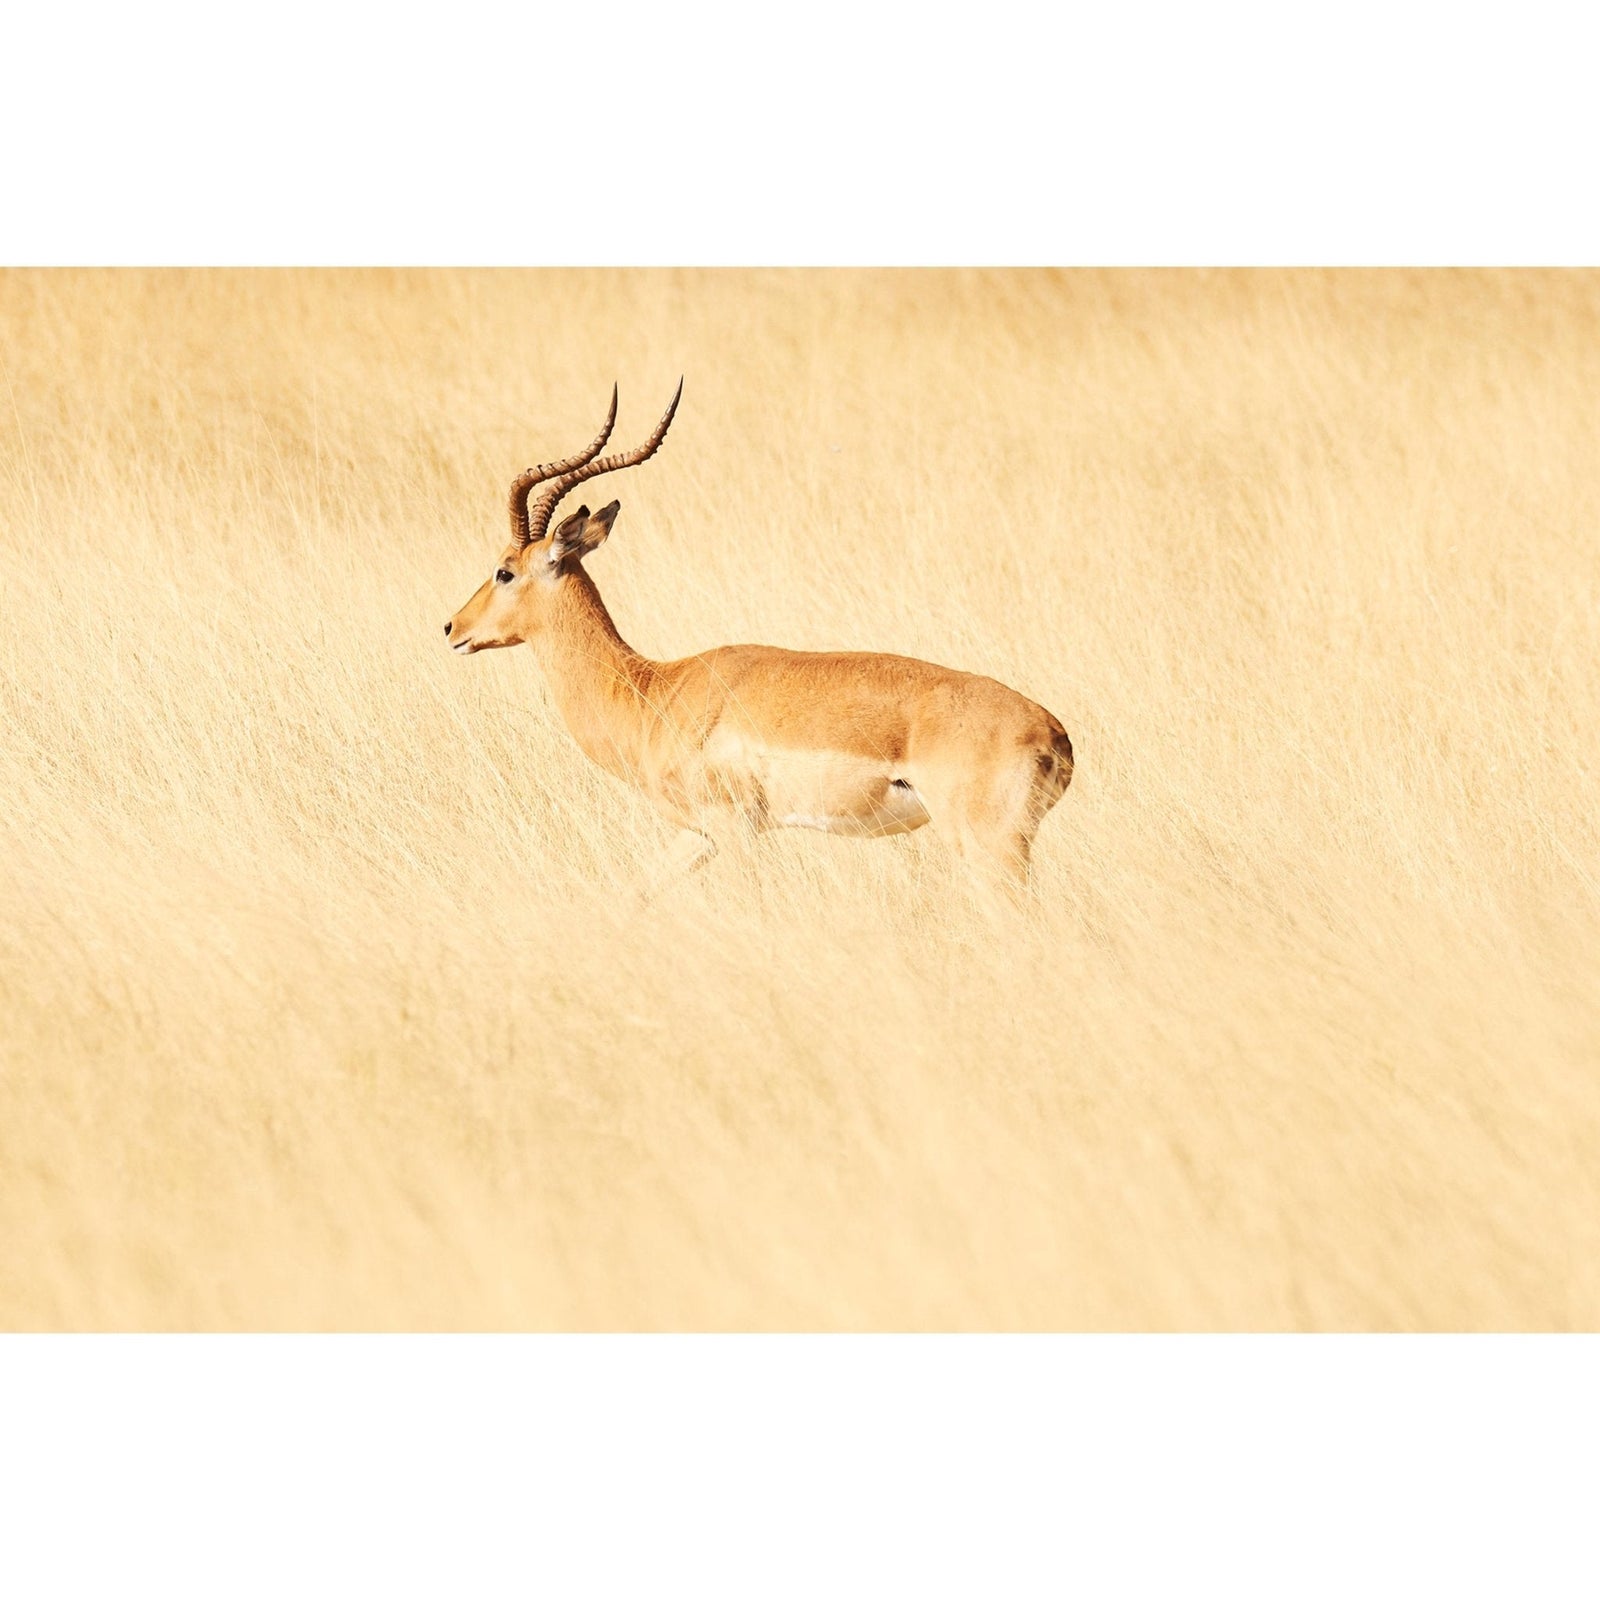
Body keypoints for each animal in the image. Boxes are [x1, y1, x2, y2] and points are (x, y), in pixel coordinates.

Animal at [444, 384, 1073, 887]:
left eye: (504, 570)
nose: (453, 628)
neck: (653, 692)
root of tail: (1055, 733)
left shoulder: (734, 829)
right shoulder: (697, 835)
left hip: (990, 851)